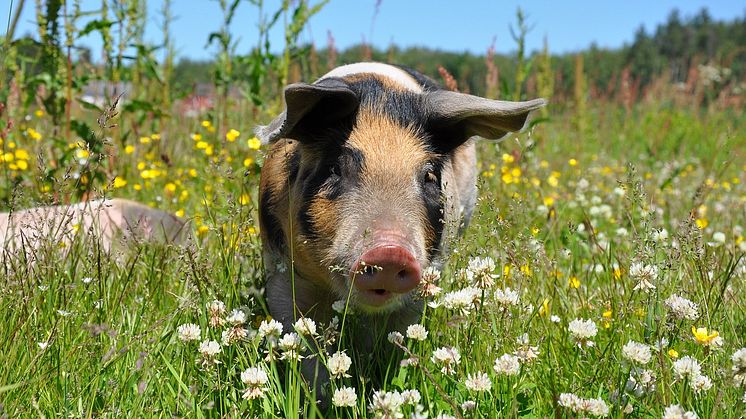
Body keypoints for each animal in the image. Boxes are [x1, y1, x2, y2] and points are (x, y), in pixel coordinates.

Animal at [254, 61, 540, 398]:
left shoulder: (424, 280)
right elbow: (303, 344)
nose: (390, 251)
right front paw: (318, 398)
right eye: (335, 168)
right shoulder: (281, 270)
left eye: (429, 175)